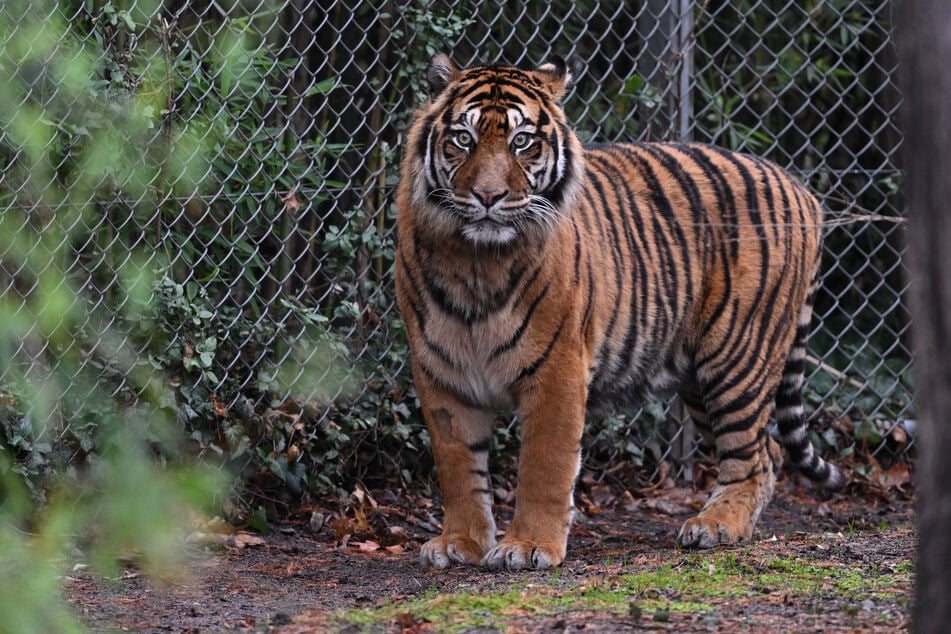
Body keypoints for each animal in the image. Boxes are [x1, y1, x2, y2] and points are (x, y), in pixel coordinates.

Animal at [394, 53, 848, 568]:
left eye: (522, 141)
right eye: (463, 140)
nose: (487, 197)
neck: (475, 261)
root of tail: (800, 188)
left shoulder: (558, 368)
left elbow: (545, 466)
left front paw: (528, 547)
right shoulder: (441, 372)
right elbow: (457, 468)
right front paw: (460, 542)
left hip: (738, 357)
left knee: (753, 455)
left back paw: (716, 526)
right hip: (698, 376)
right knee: (767, 451)